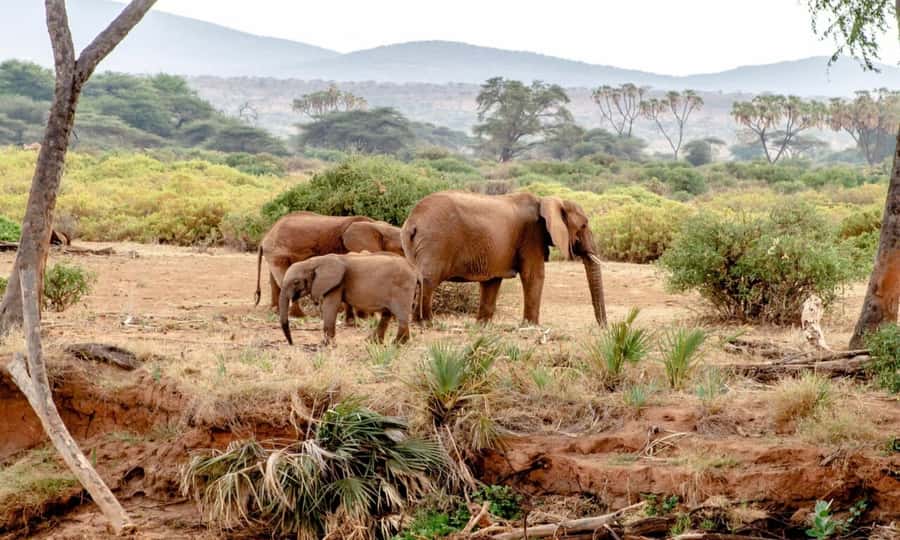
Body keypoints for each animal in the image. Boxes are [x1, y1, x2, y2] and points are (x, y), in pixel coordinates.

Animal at [254, 212, 403, 318]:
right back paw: (299, 315)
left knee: (275, 281)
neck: (377, 225)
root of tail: (265, 237)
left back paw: (276, 311)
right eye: (401, 248)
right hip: (278, 252)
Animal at [278, 252, 420, 345]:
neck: (314, 262)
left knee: (401, 315)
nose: (292, 343)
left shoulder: (336, 284)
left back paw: (397, 344)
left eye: (296, 282)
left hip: (402, 288)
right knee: (387, 315)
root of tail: (413, 268)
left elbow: (330, 306)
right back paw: (373, 342)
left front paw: (326, 344)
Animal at [401, 190, 607, 327]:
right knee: (428, 279)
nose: (603, 328)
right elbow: (533, 275)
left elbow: (492, 282)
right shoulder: (531, 235)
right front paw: (531, 327)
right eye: (583, 225)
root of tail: (413, 221)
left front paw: (482, 325)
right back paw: (426, 323)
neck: (546, 200)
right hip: (436, 240)